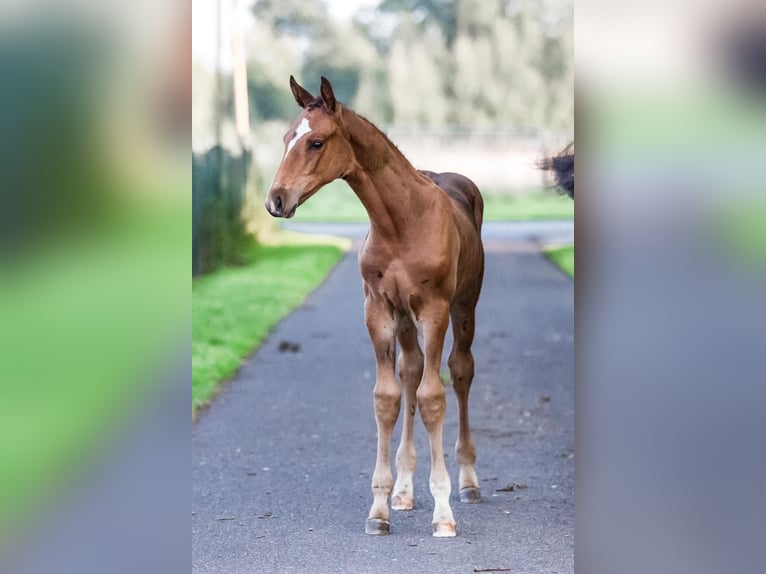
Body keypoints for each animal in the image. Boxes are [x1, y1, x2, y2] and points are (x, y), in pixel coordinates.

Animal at [266, 76, 486, 540]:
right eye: (285, 138)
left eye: (315, 141)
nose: (275, 200)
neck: (401, 222)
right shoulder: (378, 310)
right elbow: (388, 397)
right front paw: (381, 506)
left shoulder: (434, 310)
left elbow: (434, 397)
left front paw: (443, 513)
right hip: (404, 321)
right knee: (410, 372)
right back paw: (404, 489)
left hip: (465, 307)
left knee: (460, 371)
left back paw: (468, 481)